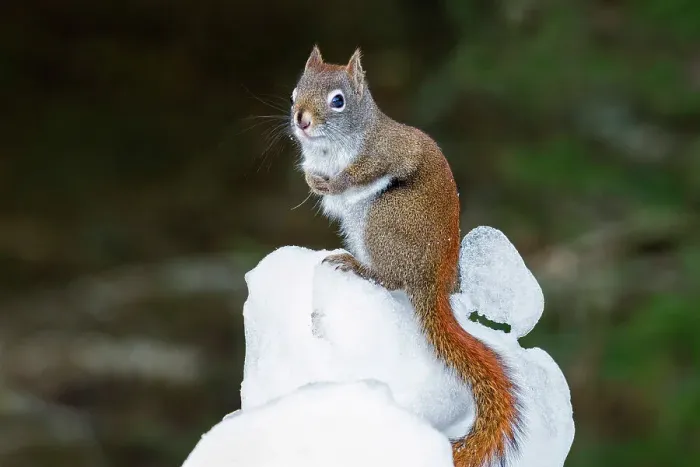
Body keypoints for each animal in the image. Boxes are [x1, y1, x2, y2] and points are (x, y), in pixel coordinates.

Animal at [289, 45, 523, 467]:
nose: (302, 120)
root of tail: (431, 282)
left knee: (390, 278)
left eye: (338, 101)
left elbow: (364, 171)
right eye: (294, 92)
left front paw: (338, 181)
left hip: (382, 222)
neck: (331, 148)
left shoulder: (391, 150)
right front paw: (313, 180)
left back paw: (356, 265)